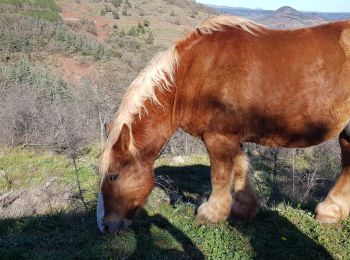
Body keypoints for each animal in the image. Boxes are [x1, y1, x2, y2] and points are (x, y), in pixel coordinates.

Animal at [96, 15, 350, 233]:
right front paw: (243, 209)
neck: (193, 73)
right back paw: (333, 211)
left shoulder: (218, 137)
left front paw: (211, 213)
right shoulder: (232, 137)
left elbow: (219, 175)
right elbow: (239, 169)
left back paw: (329, 210)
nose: (104, 226)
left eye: (113, 176)